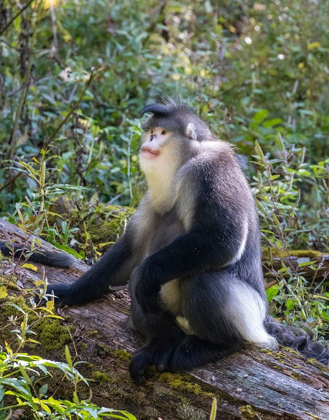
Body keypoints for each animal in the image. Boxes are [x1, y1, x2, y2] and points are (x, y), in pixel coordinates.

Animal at [3, 100, 326, 382]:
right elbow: (131, 250)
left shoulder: (210, 170)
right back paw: (163, 341)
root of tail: (264, 319)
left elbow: (223, 239)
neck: (184, 163)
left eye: (162, 133)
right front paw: (69, 293)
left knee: (195, 278)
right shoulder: (152, 196)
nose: (149, 141)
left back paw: (217, 344)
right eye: (151, 132)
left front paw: (148, 273)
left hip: (248, 315)